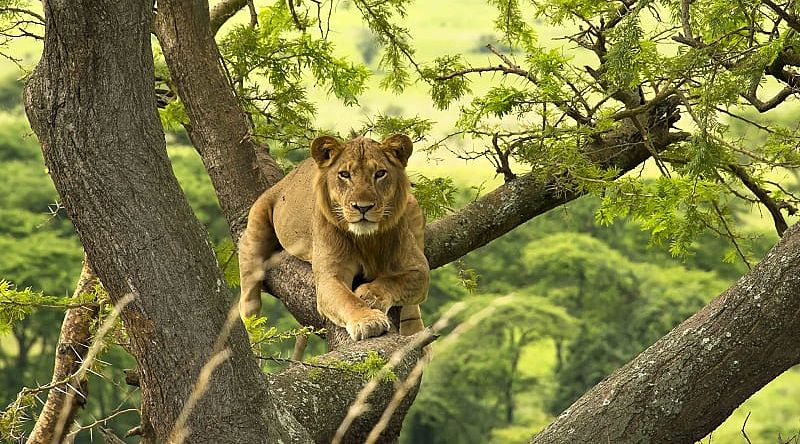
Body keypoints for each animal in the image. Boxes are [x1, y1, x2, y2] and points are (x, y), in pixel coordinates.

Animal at [239, 134, 432, 340]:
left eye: (380, 173)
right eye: (344, 175)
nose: (363, 207)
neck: (366, 239)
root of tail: (284, 181)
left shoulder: (419, 269)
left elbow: (393, 281)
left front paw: (369, 294)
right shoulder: (329, 277)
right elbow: (347, 299)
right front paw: (367, 320)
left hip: (412, 205)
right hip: (256, 228)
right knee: (249, 300)